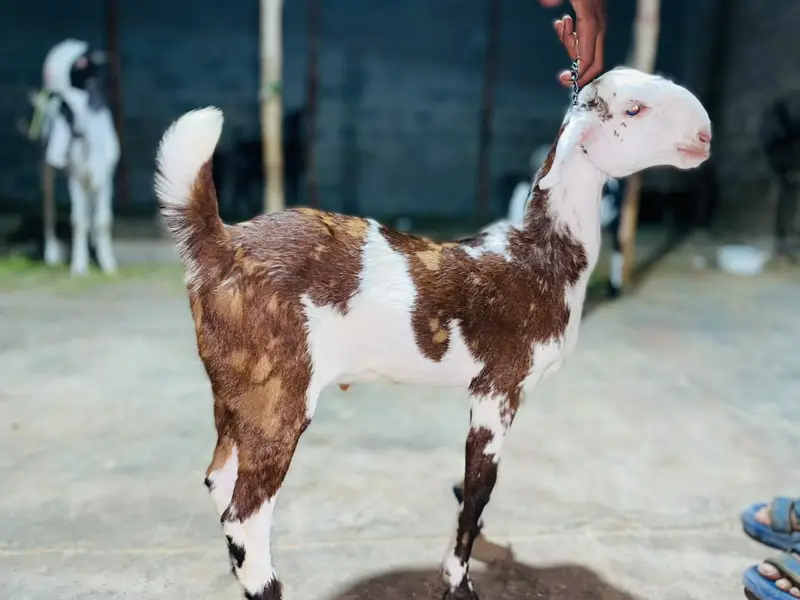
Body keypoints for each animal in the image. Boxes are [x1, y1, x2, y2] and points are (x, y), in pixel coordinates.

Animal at [154, 67, 711, 600]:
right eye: (634, 109)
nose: (704, 135)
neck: (537, 256)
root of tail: (220, 243)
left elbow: (471, 494)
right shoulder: (497, 390)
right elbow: (479, 490)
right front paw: (458, 582)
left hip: (236, 393)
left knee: (219, 480)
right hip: (278, 394)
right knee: (245, 515)